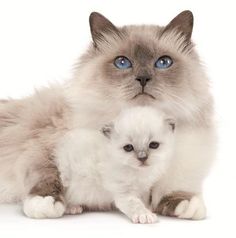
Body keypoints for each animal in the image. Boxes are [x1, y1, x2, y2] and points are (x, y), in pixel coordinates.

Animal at [0, 10, 216, 219]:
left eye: (163, 62)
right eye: (122, 62)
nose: (143, 78)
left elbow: (172, 187)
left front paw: (184, 204)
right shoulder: (46, 142)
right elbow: (44, 172)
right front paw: (46, 203)